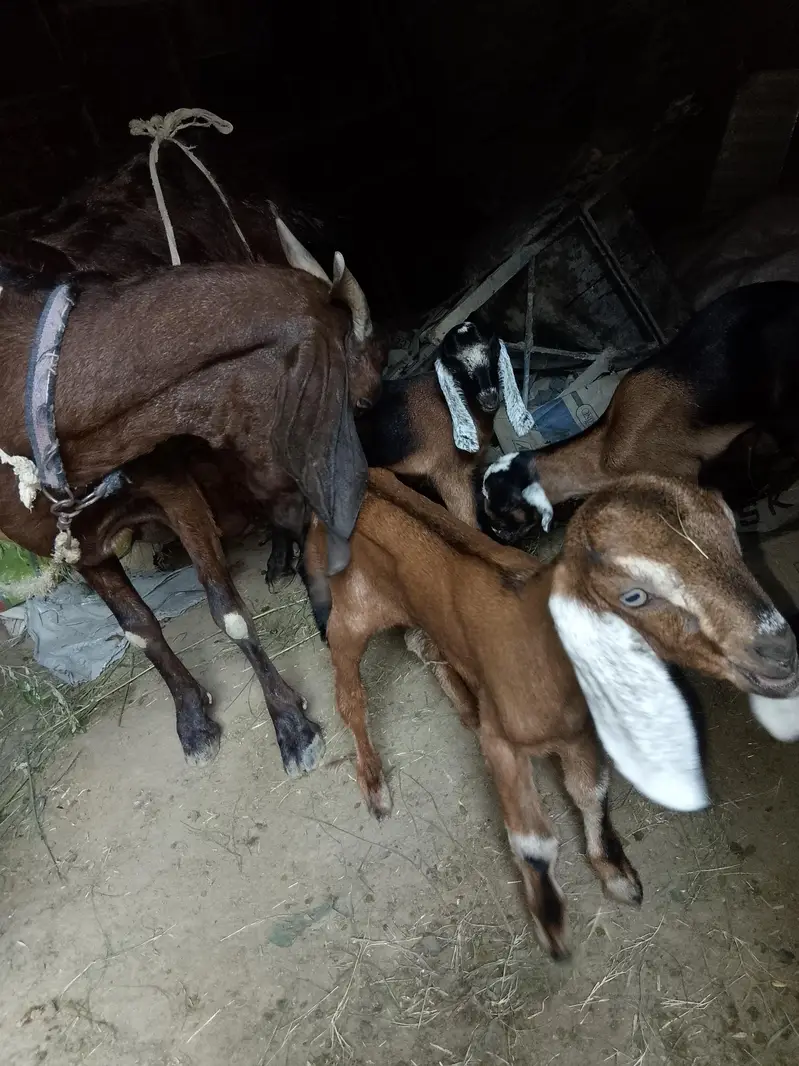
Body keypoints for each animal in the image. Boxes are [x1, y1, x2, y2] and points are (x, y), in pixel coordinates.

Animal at [0, 257, 379, 775]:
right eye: (355, 395)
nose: (375, 388)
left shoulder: (174, 488)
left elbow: (228, 611)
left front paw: (292, 725)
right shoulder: (76, 545)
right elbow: (139, 629)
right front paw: (194, 719)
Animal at [301, 468, 799, 957]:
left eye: (734, 537)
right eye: (634, 596)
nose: (780, 651)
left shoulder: (581, 736)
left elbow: (590, 794)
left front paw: (616, 874)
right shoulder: (501, 744)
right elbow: (533, 841)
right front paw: (551, 923)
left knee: (418, 642)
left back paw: (464, 703)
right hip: (349, 617)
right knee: (350, 696)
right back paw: (374, 784)